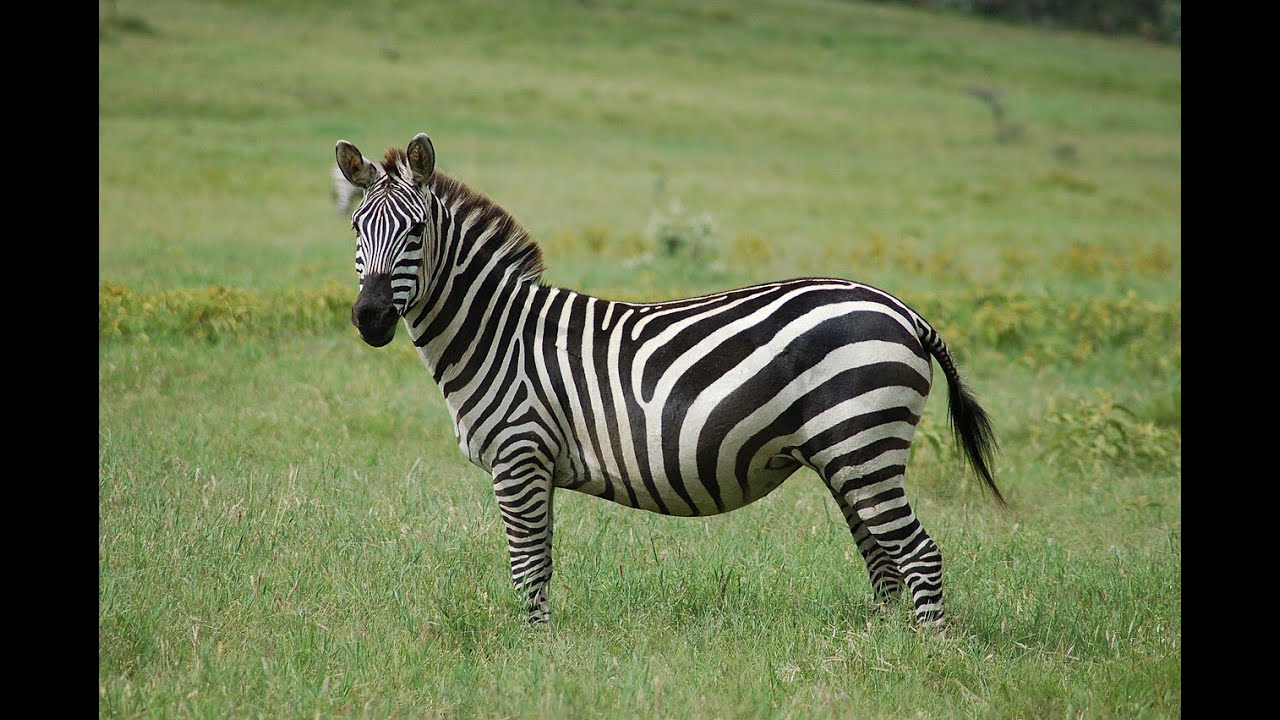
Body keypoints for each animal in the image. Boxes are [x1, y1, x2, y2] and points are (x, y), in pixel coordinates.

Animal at [334, 132, 1005, 627]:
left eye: (415, 232)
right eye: (356, 230)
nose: (370, 319)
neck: (499, 333)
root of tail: (905, 311)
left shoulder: (519, 455)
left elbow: (528, 568)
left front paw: (535, 653)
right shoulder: (536, 464)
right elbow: (540, 563)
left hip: (863, 442)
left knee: (918, 553)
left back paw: (925, 654)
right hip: (847, 452)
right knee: (882, 556)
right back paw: (880, 644)